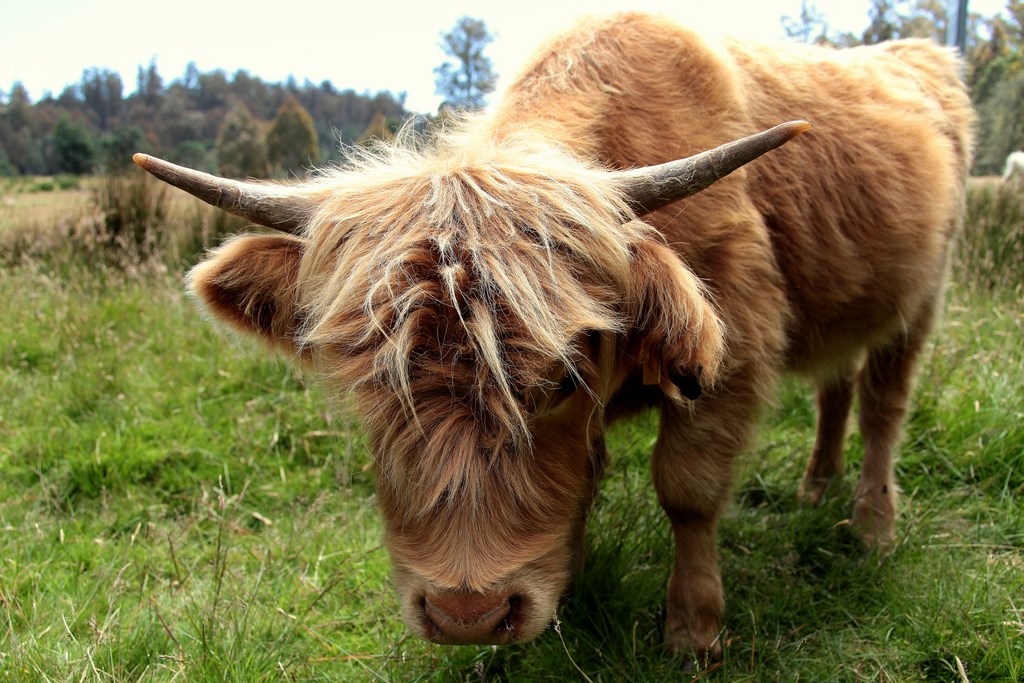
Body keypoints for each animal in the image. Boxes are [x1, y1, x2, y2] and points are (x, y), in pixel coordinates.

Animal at [132, 13, 970, 663]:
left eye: (562, 382)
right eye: (374, 391)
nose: (467, 614)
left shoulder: (734, 355)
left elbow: (688, 489)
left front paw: (693, 630)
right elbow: (584, 483)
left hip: (922, 297)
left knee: (884, 403)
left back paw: (871, 526)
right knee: (837, 384)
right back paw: (815, 484)